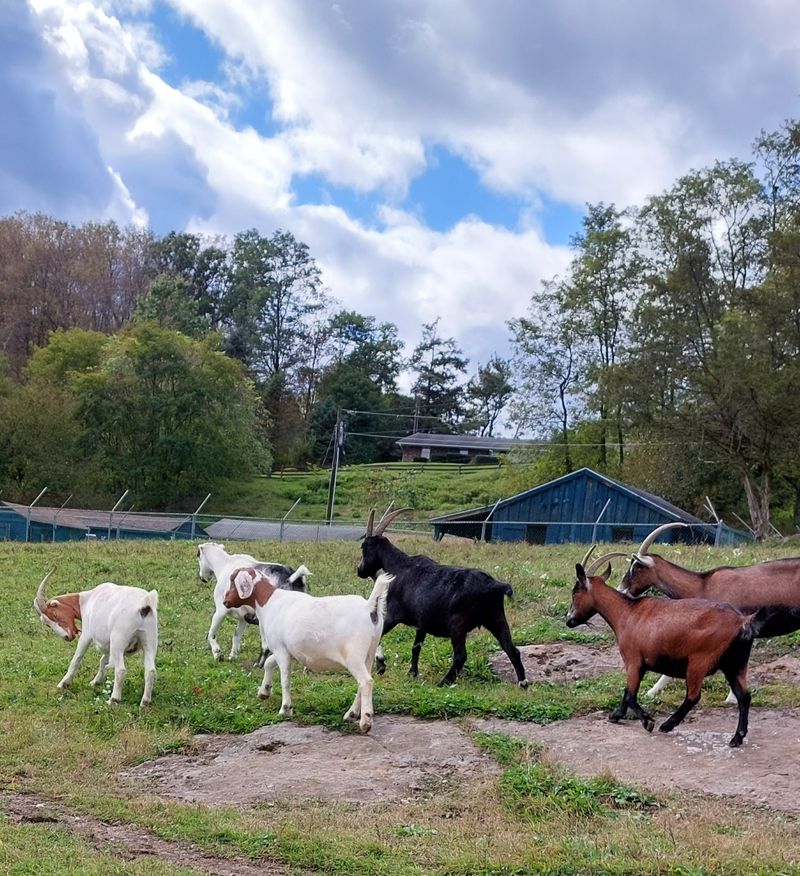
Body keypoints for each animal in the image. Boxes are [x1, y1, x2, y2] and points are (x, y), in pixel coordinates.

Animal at [33, 567, 158, 707]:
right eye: (47, 624)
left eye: (54, 615)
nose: (67, 637)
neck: (87, 600)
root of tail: (145, 604)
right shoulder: (108, 644)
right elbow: (103, 660)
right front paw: (95, 682)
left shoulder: (87, 634)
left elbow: (76, 659)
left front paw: (63, 684)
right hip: (150, 640)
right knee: (150, 670)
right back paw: (145, 702)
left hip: (118, 640)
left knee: (121, 670)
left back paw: (113, 700)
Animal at [222, 566, 393, 733]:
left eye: (233, 580)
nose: (225, 601)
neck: (269, 602)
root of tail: (368, 607)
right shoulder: (285, 649)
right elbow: (269, 663)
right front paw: (264, 691)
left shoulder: (280, 649)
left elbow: (285, 680)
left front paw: (285, 709)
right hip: (369, 651)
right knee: (363, 682)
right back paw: (351, 714)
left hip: (354, 655)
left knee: (366, 681)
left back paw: (365, 721)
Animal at [356, 508, 528, 688]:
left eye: (364, 548)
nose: (359, 570)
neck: (398, 566)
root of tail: (493, 584)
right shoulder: (422, 623)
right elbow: (416, 647)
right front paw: (412, 673)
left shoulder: (393, 614)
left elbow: (377, 635)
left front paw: (381, 665)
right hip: (496, 618)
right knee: (511, 649)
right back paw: (523, 683)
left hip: (458, 624)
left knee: (461, 655)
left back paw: (444, 682)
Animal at [567, 555, 758, 747]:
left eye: (575, 592)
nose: (569, 620)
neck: (626, 612)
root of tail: (740, 621)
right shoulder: (641, 665)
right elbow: (627, 691)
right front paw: (616, 715)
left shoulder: (633, 660)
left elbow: (630, 694)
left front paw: (647, 721)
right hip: (735, 665)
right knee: (744, 697)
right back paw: (737, 737)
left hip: (699, 663)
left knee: (693, 696)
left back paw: (667, 725)